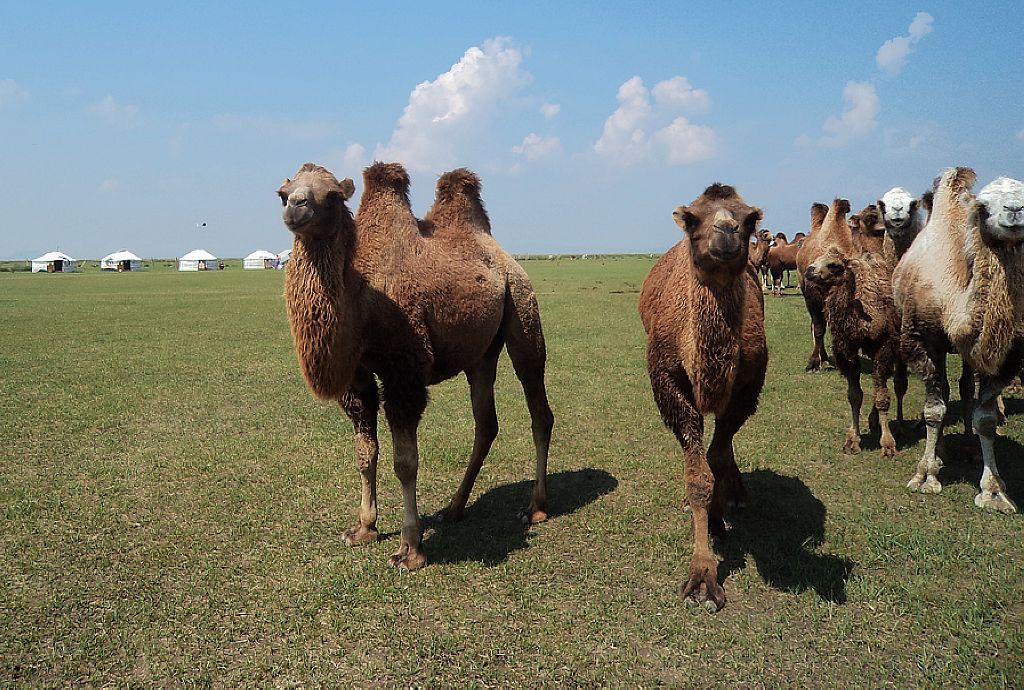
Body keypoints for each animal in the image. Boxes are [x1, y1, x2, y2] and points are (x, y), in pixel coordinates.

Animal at [278, 162, 552, 569]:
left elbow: (405, 463)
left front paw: (410, 549)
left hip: (522, 307)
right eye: (283, 192)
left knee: (538, 406)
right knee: (486, 422)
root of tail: (502, 255)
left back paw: (535, 507)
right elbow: (365, 454)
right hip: (480, 353)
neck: (363, 304)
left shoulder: (404, 373)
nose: (296, 207)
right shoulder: (358, 378)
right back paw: (454, 508)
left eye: (332, 195)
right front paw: (363, 528)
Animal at [638, 181, 770, 606]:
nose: (727, 230)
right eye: (694, 219)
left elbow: (716, 455)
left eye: (749, 218)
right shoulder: (668, 382)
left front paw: (716, 519)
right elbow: (697, 476)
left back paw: (735, 496)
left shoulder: (747, 387)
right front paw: (702, 577)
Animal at [892, 166, 1024, 509]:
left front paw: (993, 491)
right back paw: (939, 452)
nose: (1015, 211)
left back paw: (967, 445)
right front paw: (926, 475)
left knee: (965, 387)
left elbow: (986, 417)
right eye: (983, 206)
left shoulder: (1003, 355)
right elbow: (934, 410)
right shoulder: (922, 341)